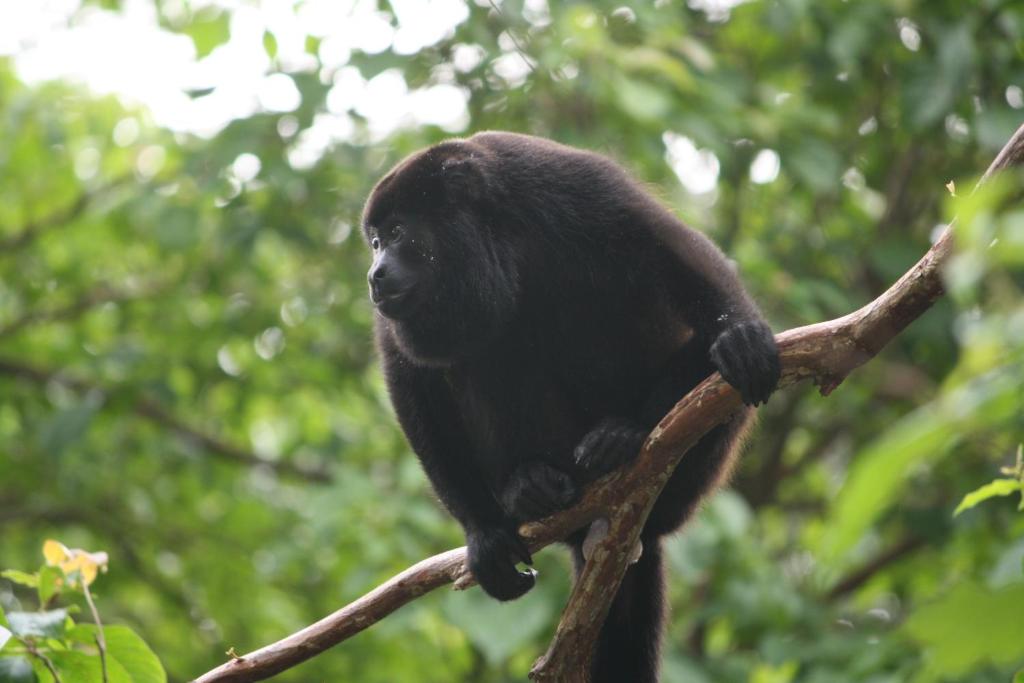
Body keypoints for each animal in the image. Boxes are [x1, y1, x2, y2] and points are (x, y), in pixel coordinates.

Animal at [362, 131, 780, 682]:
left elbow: (669, 248)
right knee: (491, 355)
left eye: (397, 232)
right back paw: (532, 486)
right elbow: (411, 382)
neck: (496, 241)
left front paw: (739, 334)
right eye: (374, 241)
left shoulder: (571, 186)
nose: (374, 273)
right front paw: (484, 532)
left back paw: (625, 436)